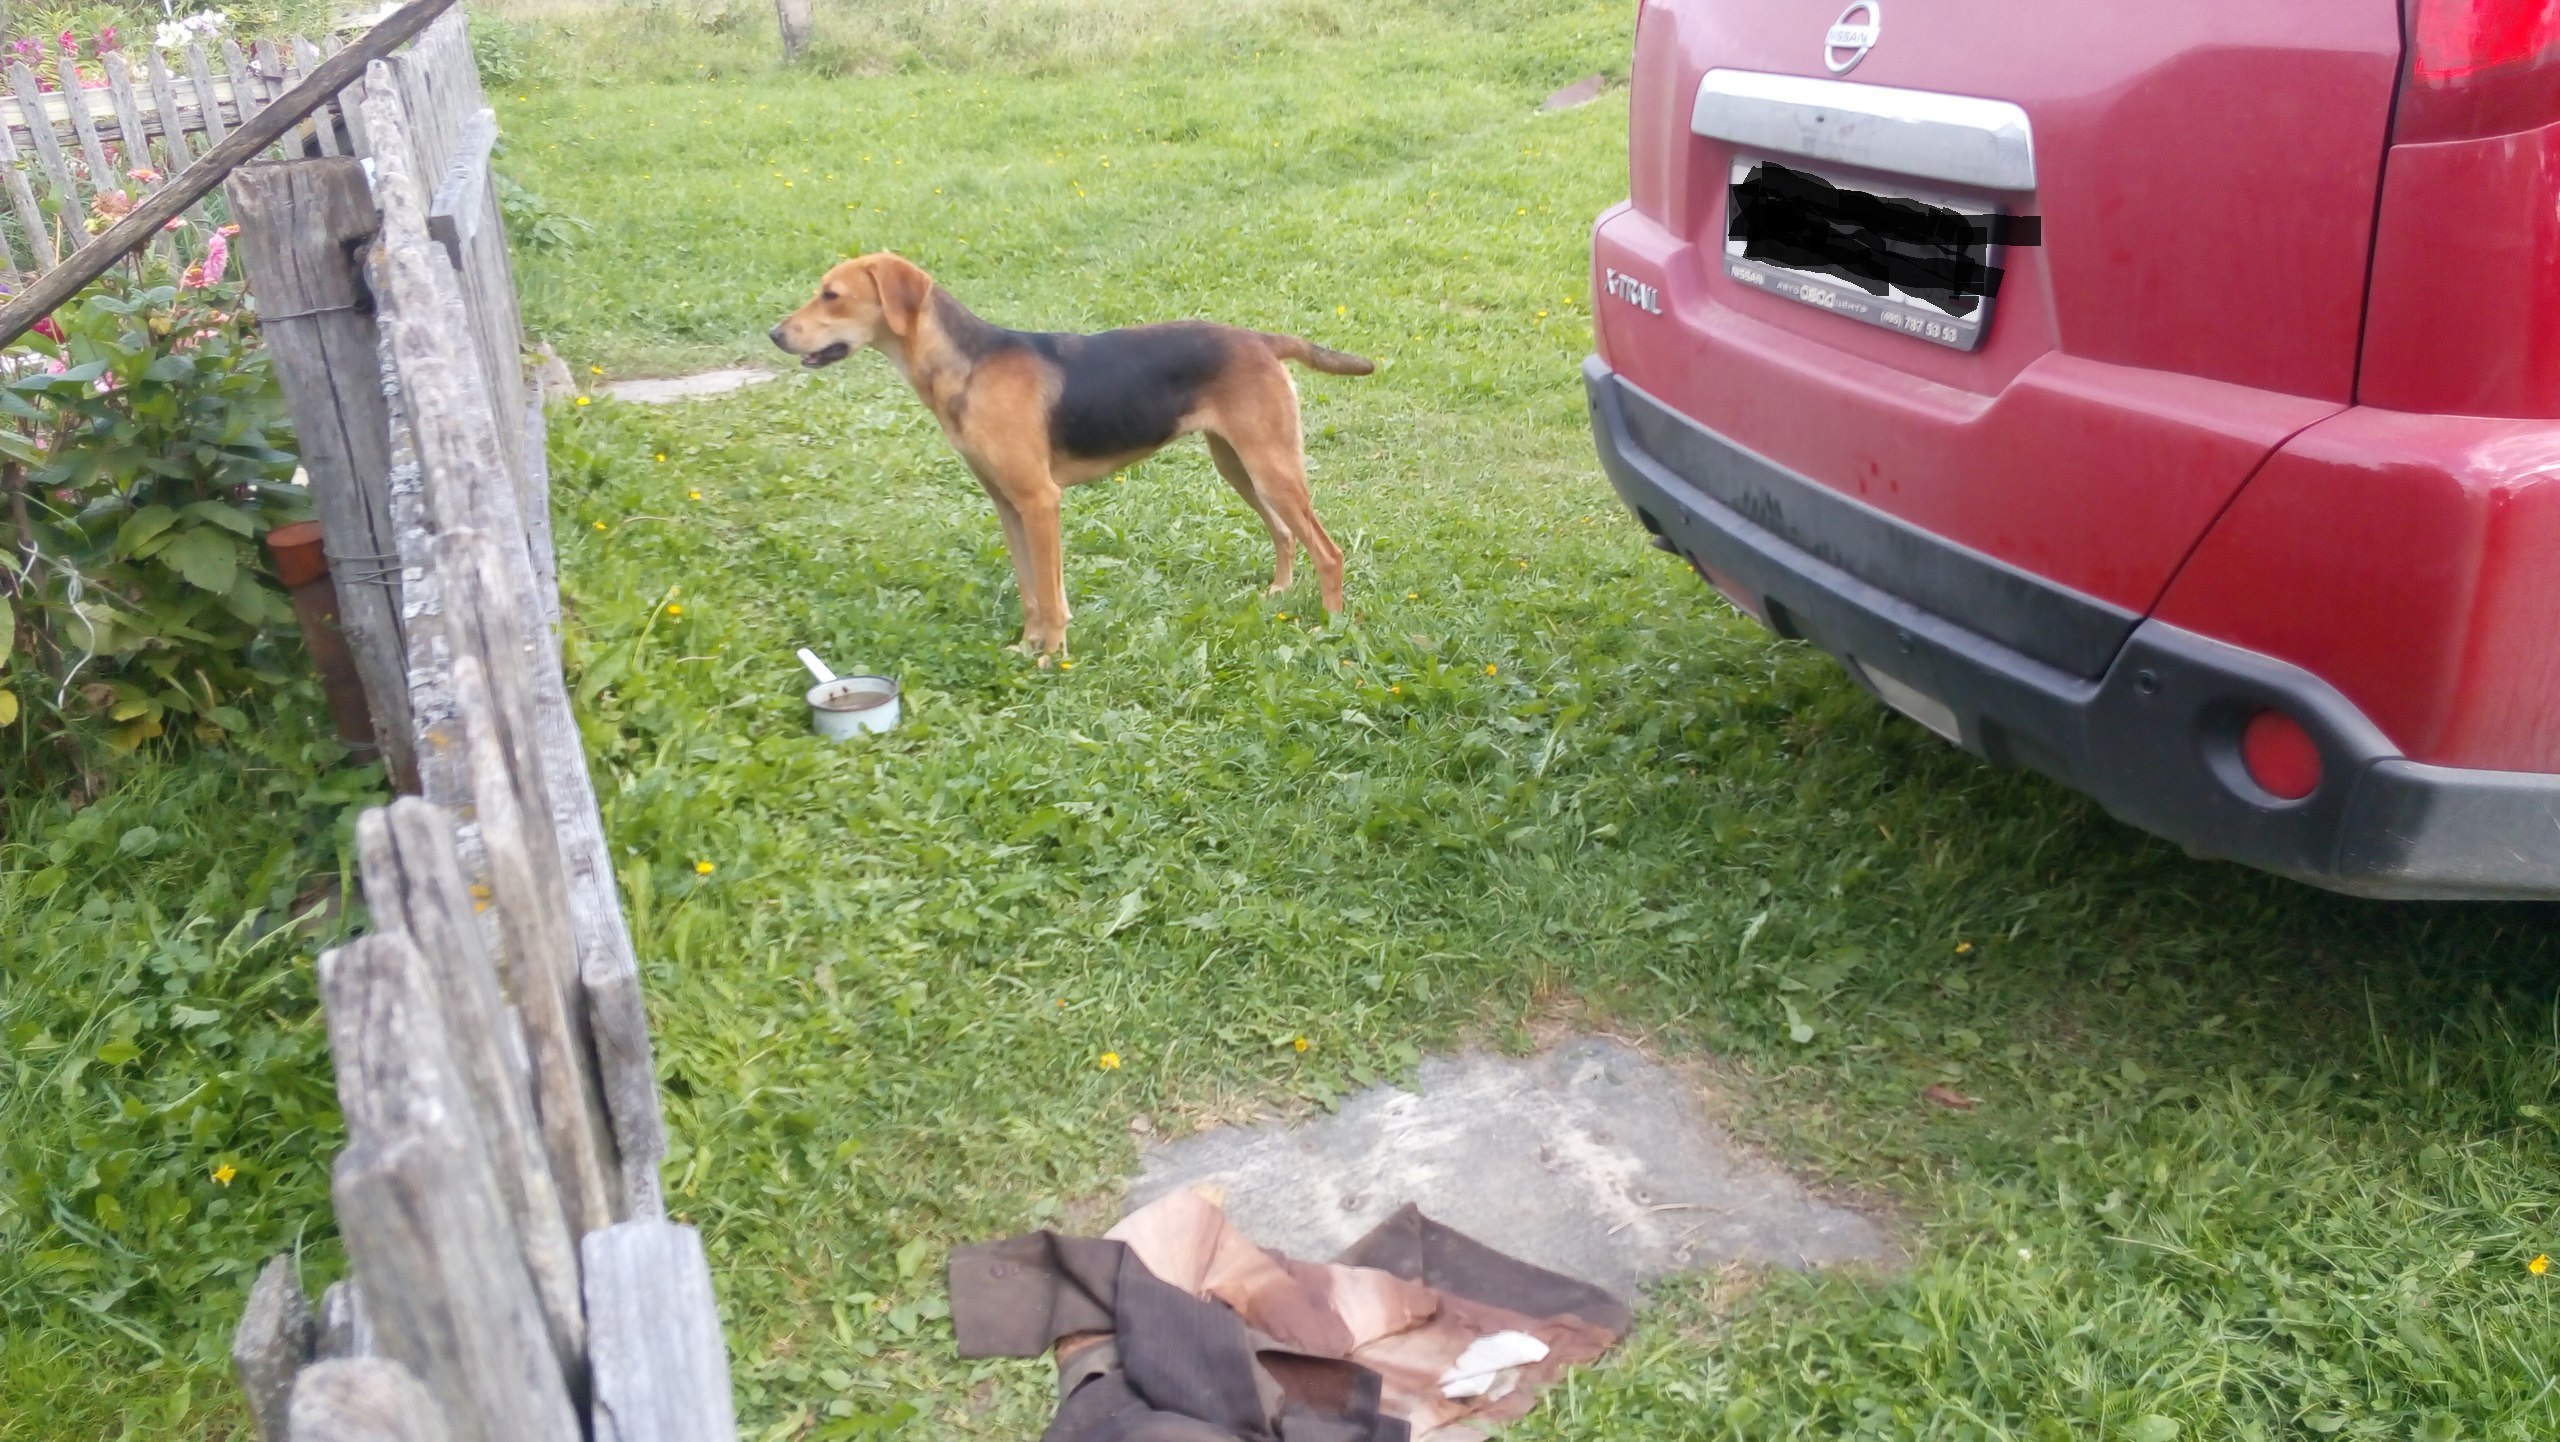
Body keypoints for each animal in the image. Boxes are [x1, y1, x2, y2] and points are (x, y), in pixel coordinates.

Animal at [770, 252, 1373, 661]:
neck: (969, 366)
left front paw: (1051, 657)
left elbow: (1050, 593)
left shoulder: (1040, 501)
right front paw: (1026, 648)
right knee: (1285, 533)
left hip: (1270, 468)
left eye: (831, 295)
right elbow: (1032, 591)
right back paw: (1278, 594)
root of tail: (1261, 339)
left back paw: (1329, 626)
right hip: (1239, 467)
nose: (776, 334)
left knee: (1328, 551)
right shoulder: (1008, 505)